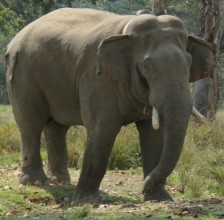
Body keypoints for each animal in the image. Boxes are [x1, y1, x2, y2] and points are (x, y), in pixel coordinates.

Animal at [4, 7, 212, 202]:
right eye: (146, 66)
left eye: (189, 63)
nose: (143, 186)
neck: (126, 29)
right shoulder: (97, 77)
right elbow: (103, 130)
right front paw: (84, 201)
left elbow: (153, 135)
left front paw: (159, 198)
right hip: (23, 74)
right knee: (31, 123)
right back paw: (36, 182)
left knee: (57, 127)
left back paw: (61, 181)